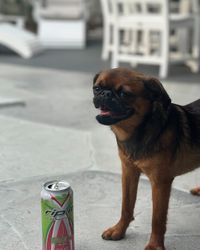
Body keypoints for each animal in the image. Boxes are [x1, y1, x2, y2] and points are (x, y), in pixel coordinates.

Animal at [92, 68, 200, 250]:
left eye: (124, 93)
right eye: (96, 88)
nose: (105, 94)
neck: (138, 132)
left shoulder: (160, 183)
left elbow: (157, 219)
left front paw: (155, 245)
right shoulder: (129, 173)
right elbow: (126, 207)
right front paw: (119, 230)